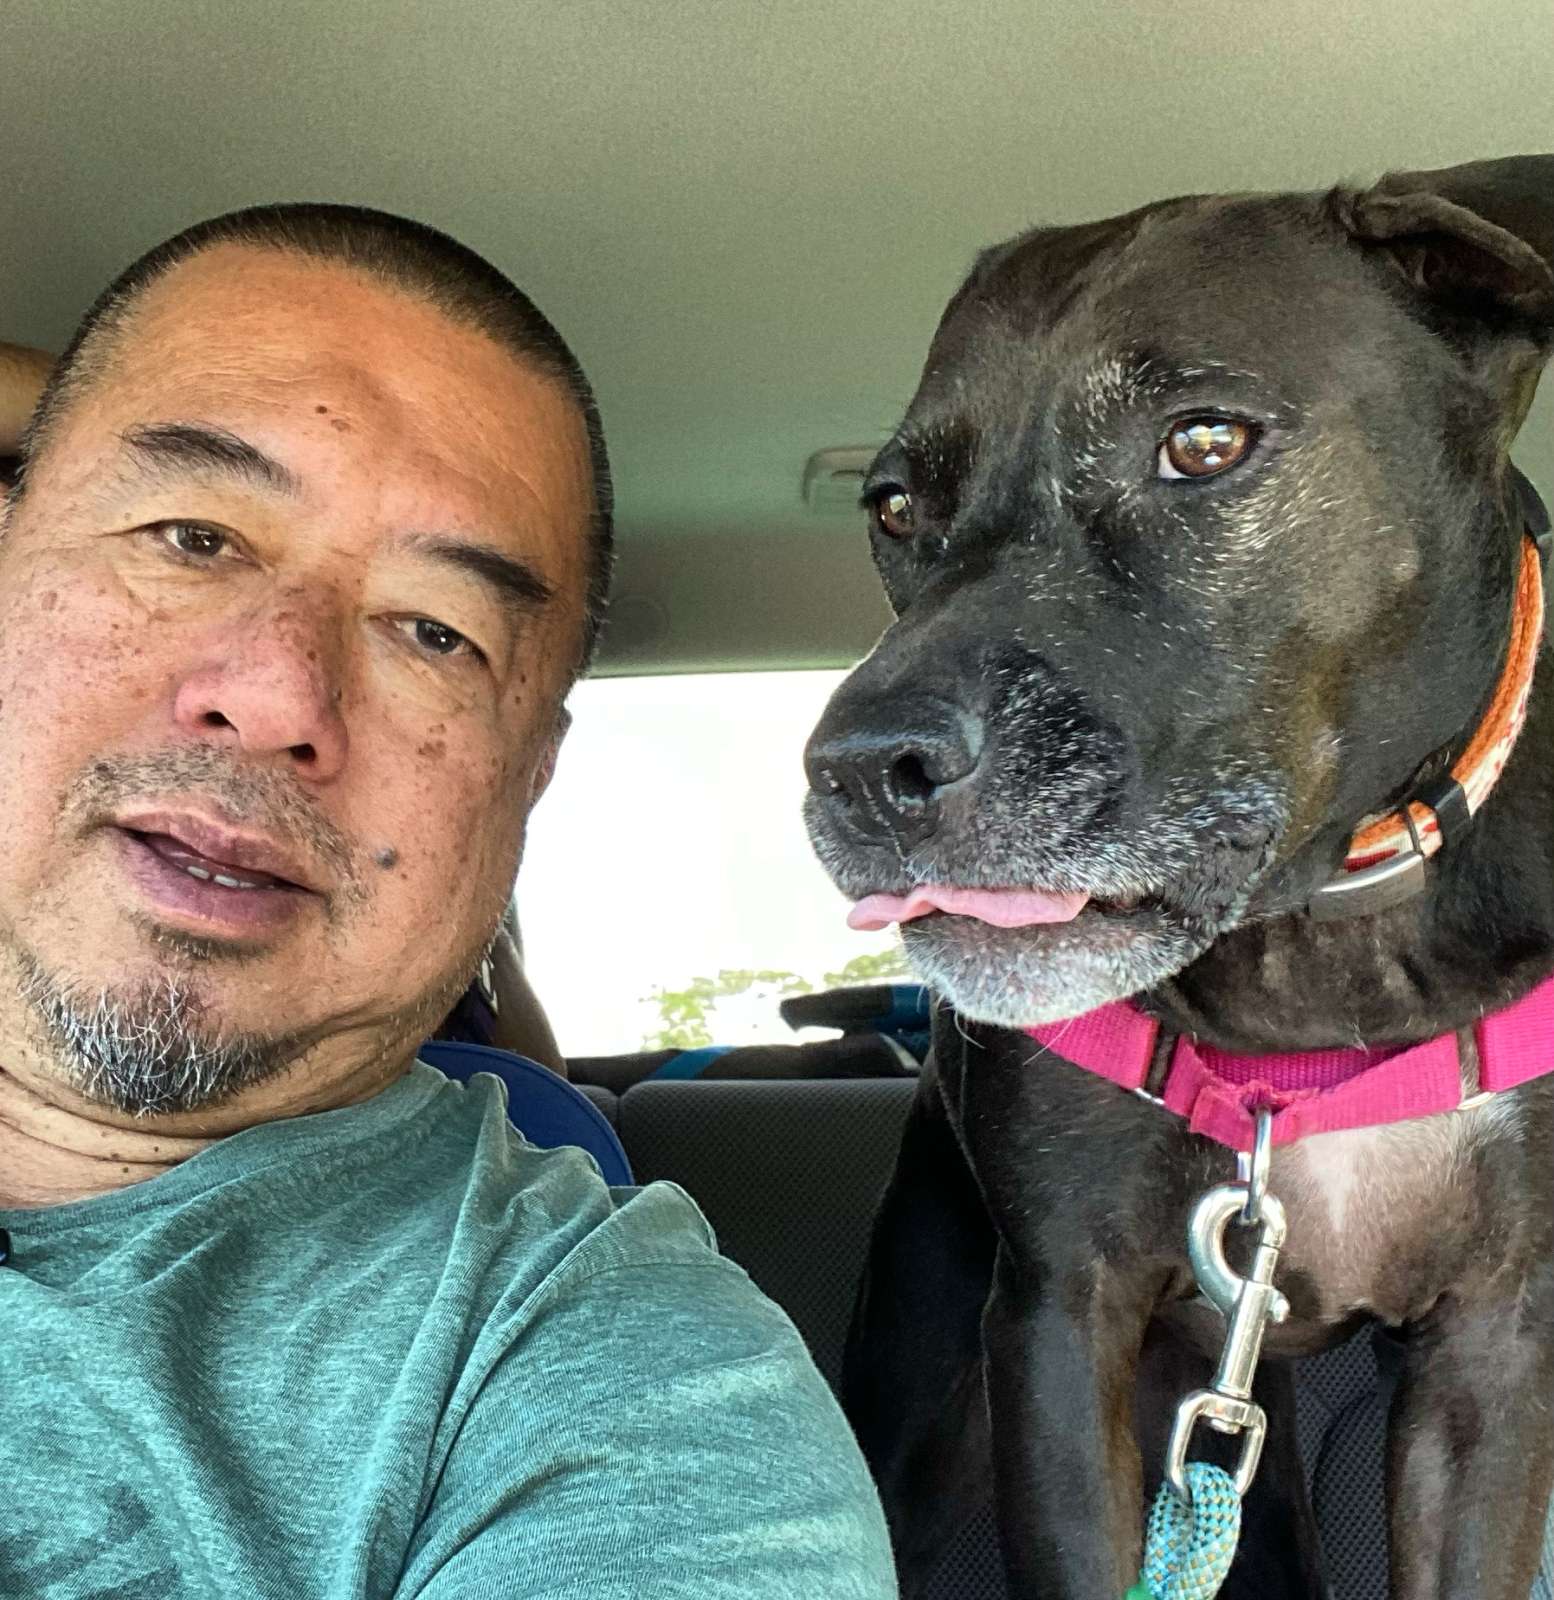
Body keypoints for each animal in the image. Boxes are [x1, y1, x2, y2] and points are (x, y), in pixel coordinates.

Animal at [803, 156, 1554, 1599]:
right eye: (896, 508)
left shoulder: (1491, 1348)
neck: (1319, 945)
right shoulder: (1063, 1321)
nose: (857, 772)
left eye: (1202, 444)